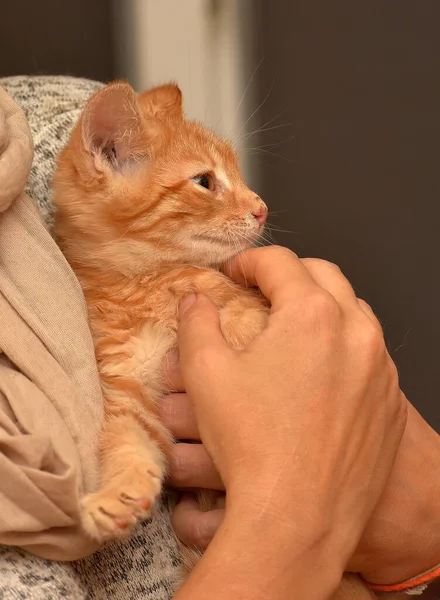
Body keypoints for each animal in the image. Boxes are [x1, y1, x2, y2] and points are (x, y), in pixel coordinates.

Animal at [53, 82, 378, 596]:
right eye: (205, 181)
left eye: (238, 174)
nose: (261, 207)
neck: (149, 284)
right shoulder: (127, 384)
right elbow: (128, 441)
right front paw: (116, 495)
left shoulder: (249, 303)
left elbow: (247, 319)